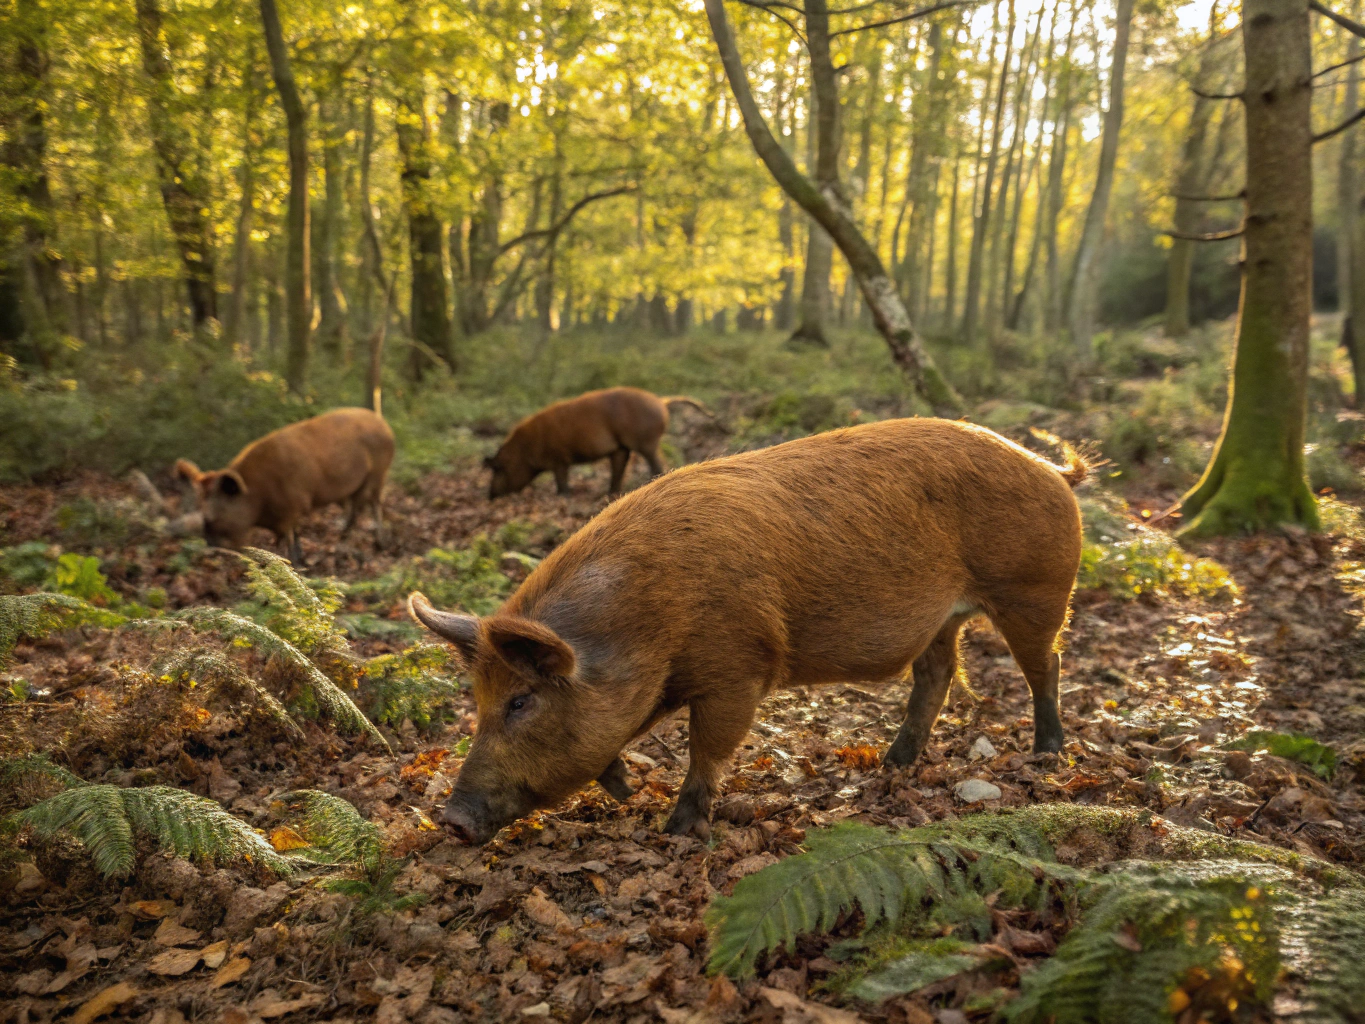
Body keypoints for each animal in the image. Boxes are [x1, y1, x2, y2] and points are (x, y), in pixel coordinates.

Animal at [174, 407, 394, 564]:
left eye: (212, 517)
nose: (211, 551)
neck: (258, 494)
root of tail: (384, 425)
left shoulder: (294, 506)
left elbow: (287, 538)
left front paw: (292, 563)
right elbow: (294, 533)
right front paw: (300, 560)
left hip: (377, 474)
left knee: (368, 506)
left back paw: (371, 545)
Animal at [409, 417, 1087, 844]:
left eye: (521, 701)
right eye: (480, 701)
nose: (450, 819)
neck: (649, 624)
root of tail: (1051, 469)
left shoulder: (739, 666)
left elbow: (708, 748)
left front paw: (677, 831)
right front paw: (627, 792)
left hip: (1035, 590)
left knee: (1046, 665)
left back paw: (1047, 753)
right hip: (945, 618)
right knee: (937, 674)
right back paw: (891, 766)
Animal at [484, 386, 711, 499]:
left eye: (497, 469)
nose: (490, 496)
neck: (525, 450)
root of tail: (661, 401)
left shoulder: (559, 459)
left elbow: (561, 480)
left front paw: (562, 496)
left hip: (646, 441)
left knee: (657, 464)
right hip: (622, 448)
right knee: (620, 468)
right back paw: (611, 493)